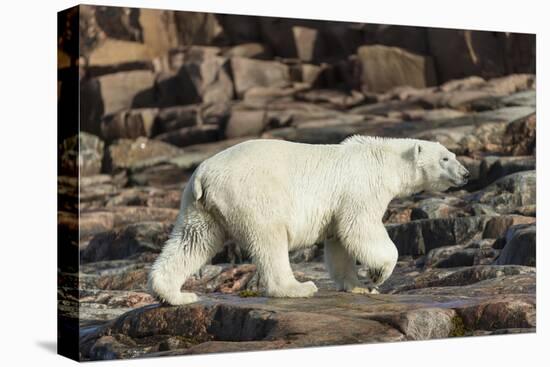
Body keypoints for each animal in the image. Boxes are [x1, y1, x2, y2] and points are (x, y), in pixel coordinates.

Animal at [149, 135, 472, 304]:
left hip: (201, 206)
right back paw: (298, 288)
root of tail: (203, 174)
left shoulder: (339, 204)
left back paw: (175, 294)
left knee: (193, 241)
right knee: (270, 239)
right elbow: (361, 228)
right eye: (445, 158)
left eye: (453, 154)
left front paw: (357, 285)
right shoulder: (361, 187)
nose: (467, 174)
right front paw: (378, 274)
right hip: (253, 194)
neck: (384, 159)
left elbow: (340, 240)